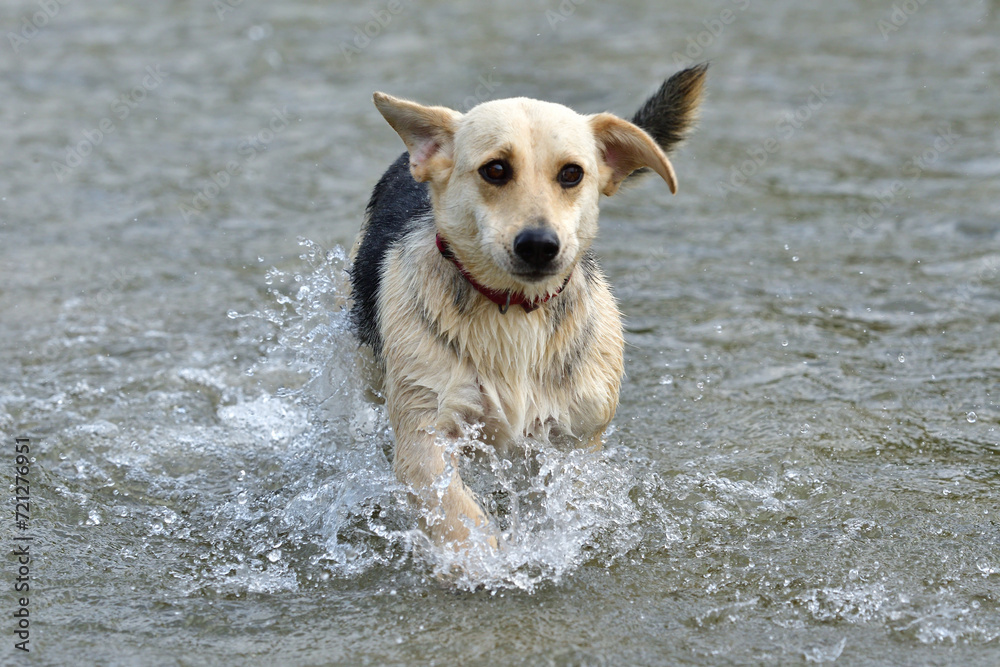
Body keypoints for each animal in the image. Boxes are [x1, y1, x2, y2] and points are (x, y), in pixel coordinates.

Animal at [352, 64, 712, 552]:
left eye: (572, 174)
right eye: (495, 169)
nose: (539, 244)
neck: (515, 308)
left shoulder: (574, 439)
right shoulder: (425, 433)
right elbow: (459, 519)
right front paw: (485, 560)